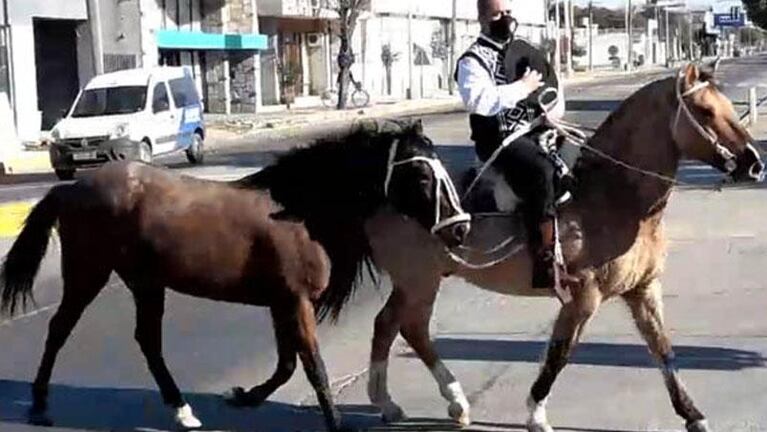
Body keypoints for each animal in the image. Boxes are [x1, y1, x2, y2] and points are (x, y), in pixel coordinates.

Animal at [1, 121, 474, 432]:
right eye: (421, 173)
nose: (460, 228)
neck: (301, 210)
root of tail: (72, 188)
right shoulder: (295, 301)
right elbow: (313, 366)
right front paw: (335, 423)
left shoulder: (282, 303)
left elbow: (287, 365)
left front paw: (244, 396)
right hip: (89, 272)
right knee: (59, 329)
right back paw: (40, 406)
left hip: (146, 283)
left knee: (148, 342)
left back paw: (182, 410)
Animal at [364, 62, 764, 430]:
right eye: (706, 111)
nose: (754, 164)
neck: (613, 194)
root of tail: (384, 191)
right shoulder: (583, 296)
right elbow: (560, 353)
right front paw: (536, 414)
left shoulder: (643, 289)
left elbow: (663, 349)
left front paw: (692, 414)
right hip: (420, 282)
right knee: (410, 328)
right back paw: (449, 402)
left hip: (415, 283)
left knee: (389, 324)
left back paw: (395, 403)